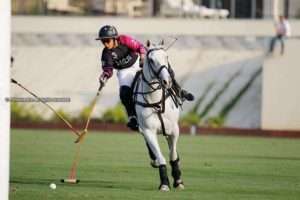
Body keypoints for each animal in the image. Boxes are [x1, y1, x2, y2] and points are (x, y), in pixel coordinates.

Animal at [133, 39, 184, 191]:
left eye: (166, 57)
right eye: (151, 60)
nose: (167, 81)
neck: (155, 101)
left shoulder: (174, 130)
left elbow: (173, 155)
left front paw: (178, 180)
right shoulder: (148, 131)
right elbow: (161, 156)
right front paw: (165, 183)